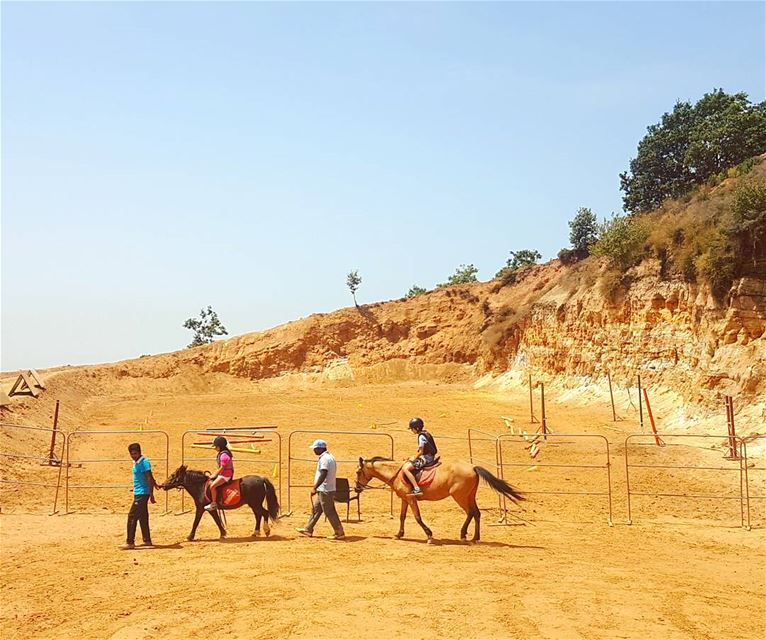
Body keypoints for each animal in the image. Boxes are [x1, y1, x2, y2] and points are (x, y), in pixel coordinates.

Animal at [356, 458, 524, 544]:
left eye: (358, 472)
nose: (357, 488)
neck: (396, 473)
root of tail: (472, 467)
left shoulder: (411, 498)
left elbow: (417, 517)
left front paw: (429, 535)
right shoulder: (405, 499)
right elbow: (402, 517)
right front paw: (399, 534)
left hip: (460, 497)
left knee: (470, 513)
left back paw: (463, 535)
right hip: (469, 496)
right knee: (476, 514)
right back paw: (475, 538)